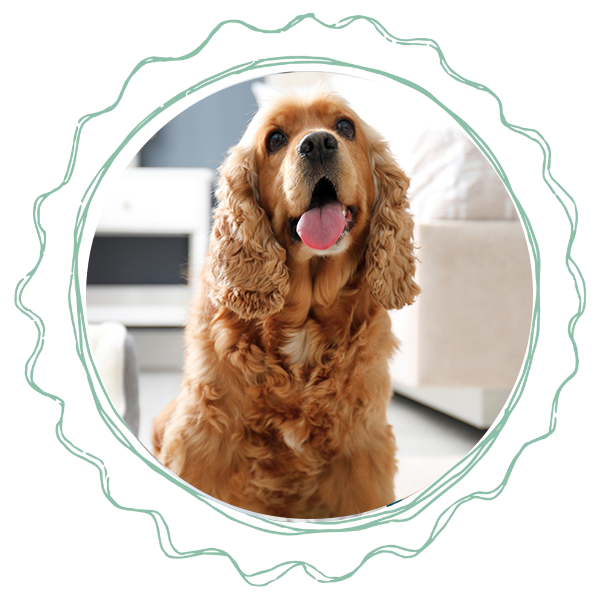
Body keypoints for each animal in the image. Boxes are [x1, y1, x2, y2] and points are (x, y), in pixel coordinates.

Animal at [152, 85, 420, 520]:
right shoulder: (204, 438)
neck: (305, 321)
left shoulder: (361, 455)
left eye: (345, 127)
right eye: (275, 139)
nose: (318, 143)